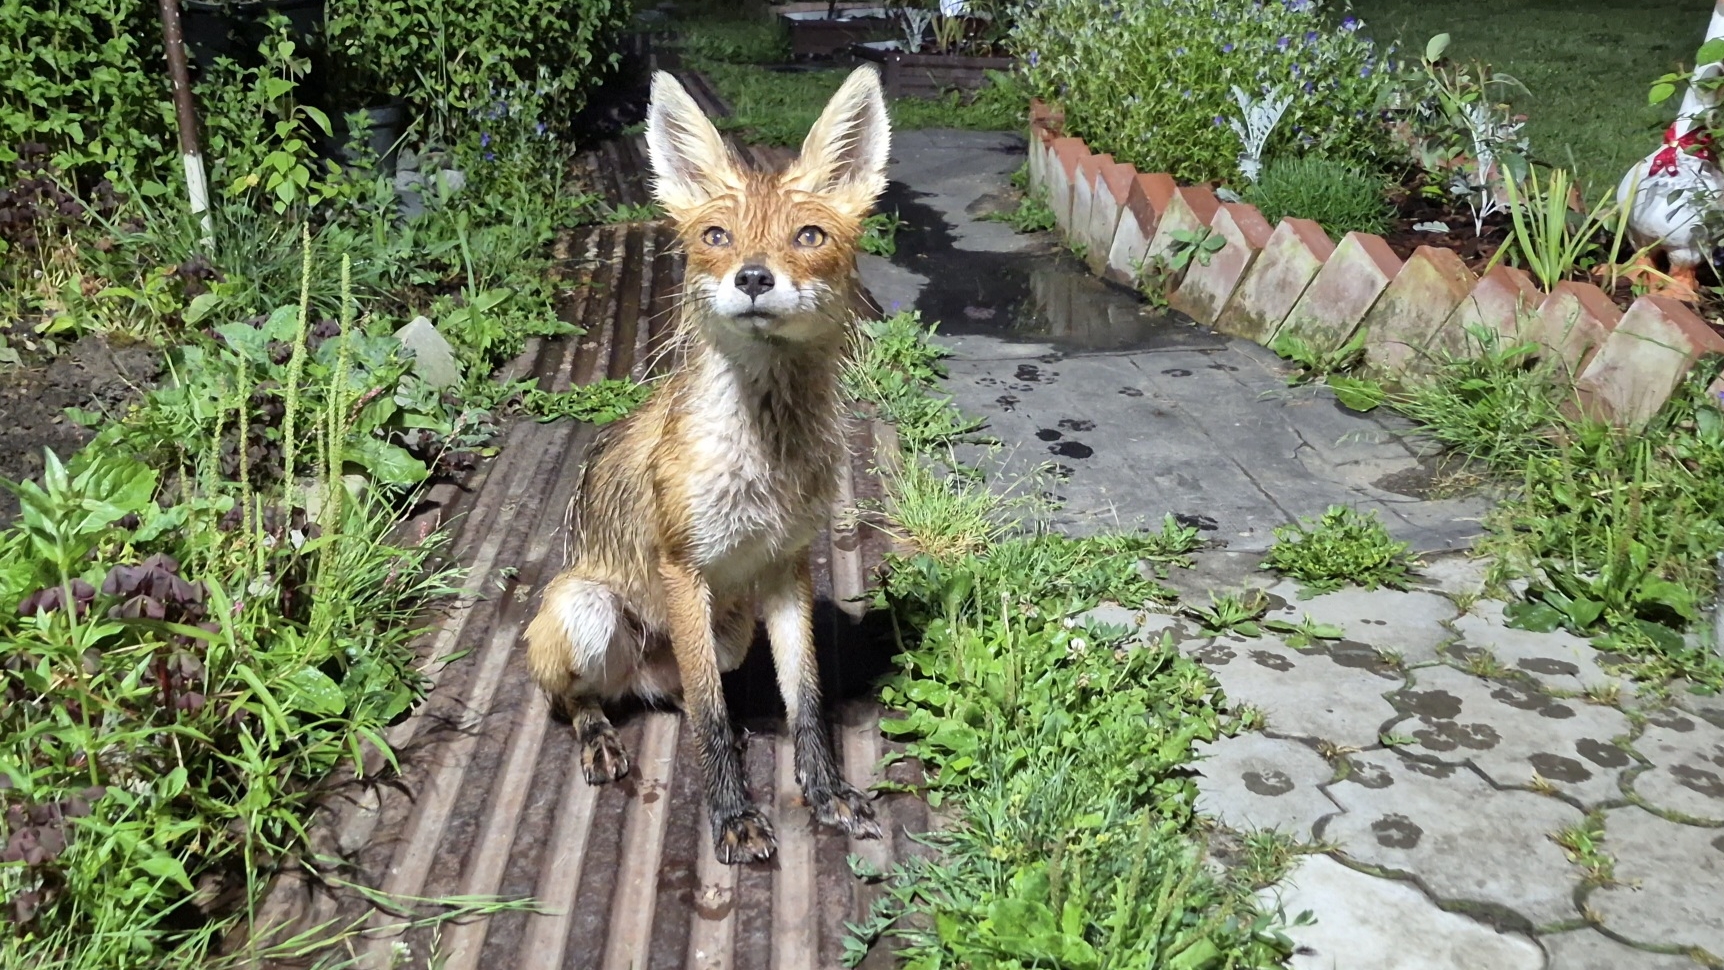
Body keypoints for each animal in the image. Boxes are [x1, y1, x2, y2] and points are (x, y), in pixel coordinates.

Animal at [522, 66, 891, 863]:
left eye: (809, 236)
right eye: (716, 237)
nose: (753, 278)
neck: (763, 459)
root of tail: (639, 681)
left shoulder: (786, 566)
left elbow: (806, 702)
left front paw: (826, 793)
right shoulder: (681, 567)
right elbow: (711, 723)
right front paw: (732, 816)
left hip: (731, 631)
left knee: (683, 698)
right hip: (588, 610)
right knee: (581, 698)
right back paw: (599, 738)